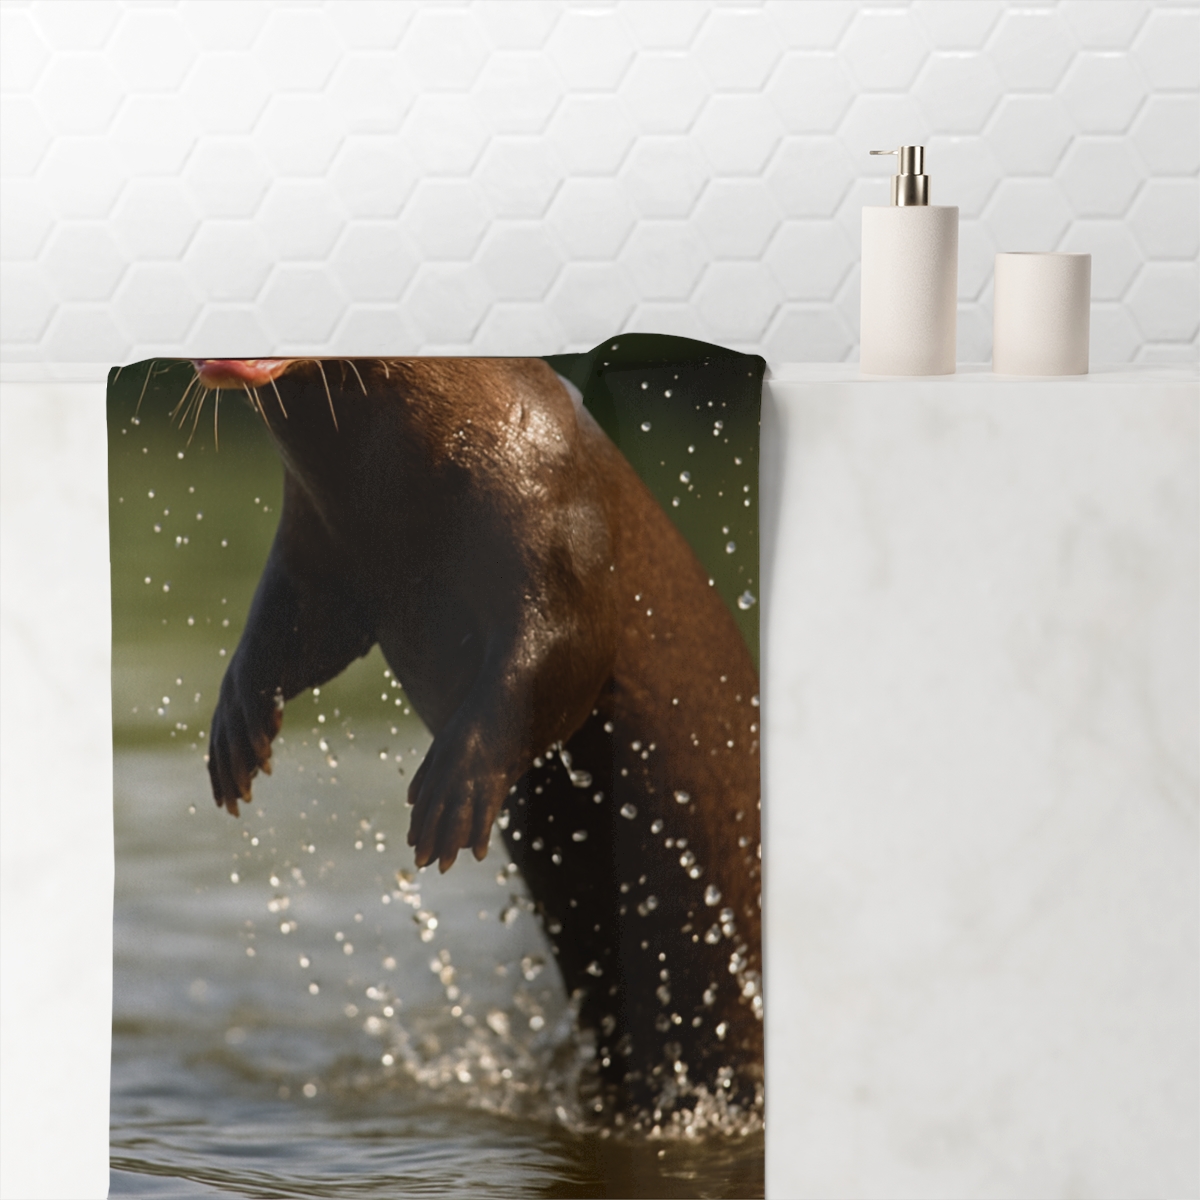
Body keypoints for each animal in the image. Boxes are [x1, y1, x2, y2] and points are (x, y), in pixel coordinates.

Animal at [196, 354, 762, 1120]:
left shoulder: (560, 524)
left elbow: (560, 653)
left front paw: (453, 787)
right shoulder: (315, 541)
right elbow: (284, 629)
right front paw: (234, 728)